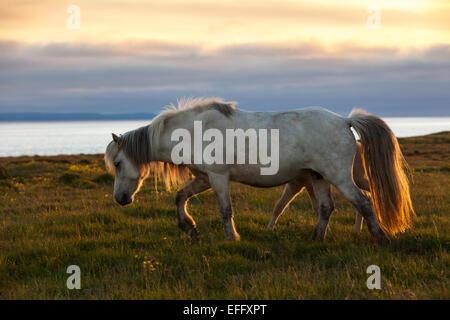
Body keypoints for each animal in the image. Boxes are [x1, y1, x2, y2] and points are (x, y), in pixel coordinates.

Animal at [105, 97, 414, 242]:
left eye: (118, 163)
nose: (120, 199)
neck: (193, 130)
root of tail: (344, 121)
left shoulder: (218, 177)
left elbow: (225, 210)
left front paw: (232, 238)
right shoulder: (204, 178)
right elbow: (180, 197)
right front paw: (189, 228)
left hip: (339, 178)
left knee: (364, 202)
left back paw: (380, 237)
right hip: (319, 178)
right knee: (326, 208)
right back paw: (316, 238)